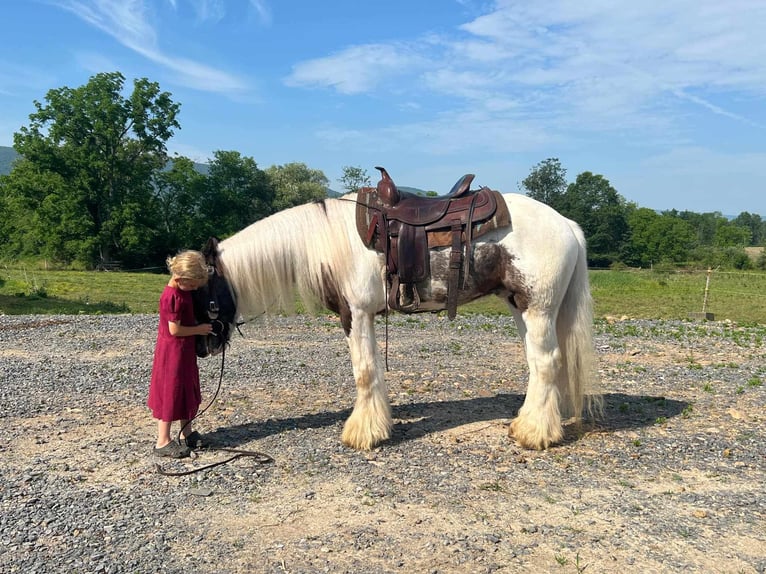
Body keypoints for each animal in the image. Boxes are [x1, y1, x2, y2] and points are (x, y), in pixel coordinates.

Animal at [192, 173, 600, 452]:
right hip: (521, 307)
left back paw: (534, 434)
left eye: (200, 293)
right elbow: (371, 369)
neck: (331, 238)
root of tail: (566, 224)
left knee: (547, 362)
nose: (201, 347)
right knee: (539, 364)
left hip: (538, 308)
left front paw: (363, 433)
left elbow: (364, 370)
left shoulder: (355, 314)